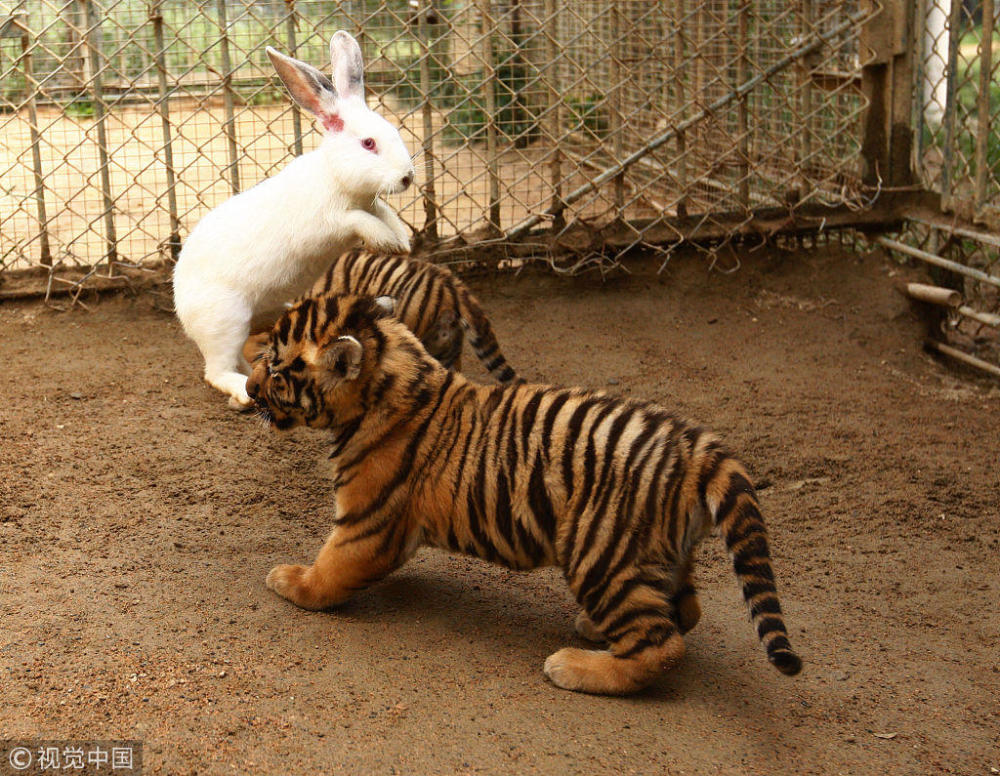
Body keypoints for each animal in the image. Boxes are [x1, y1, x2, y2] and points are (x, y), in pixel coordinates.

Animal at [174, 30, 416, 410]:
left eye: (395, 132)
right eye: (368, 143)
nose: (407, 177)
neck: (335, 177)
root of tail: (182, 312)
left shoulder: (372, 204)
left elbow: (384, 214)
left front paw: (402, 240)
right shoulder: (332, 222)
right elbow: (360, 221)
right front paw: (387, 242)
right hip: (225, 321)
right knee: (216, 371)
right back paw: (243, 394)